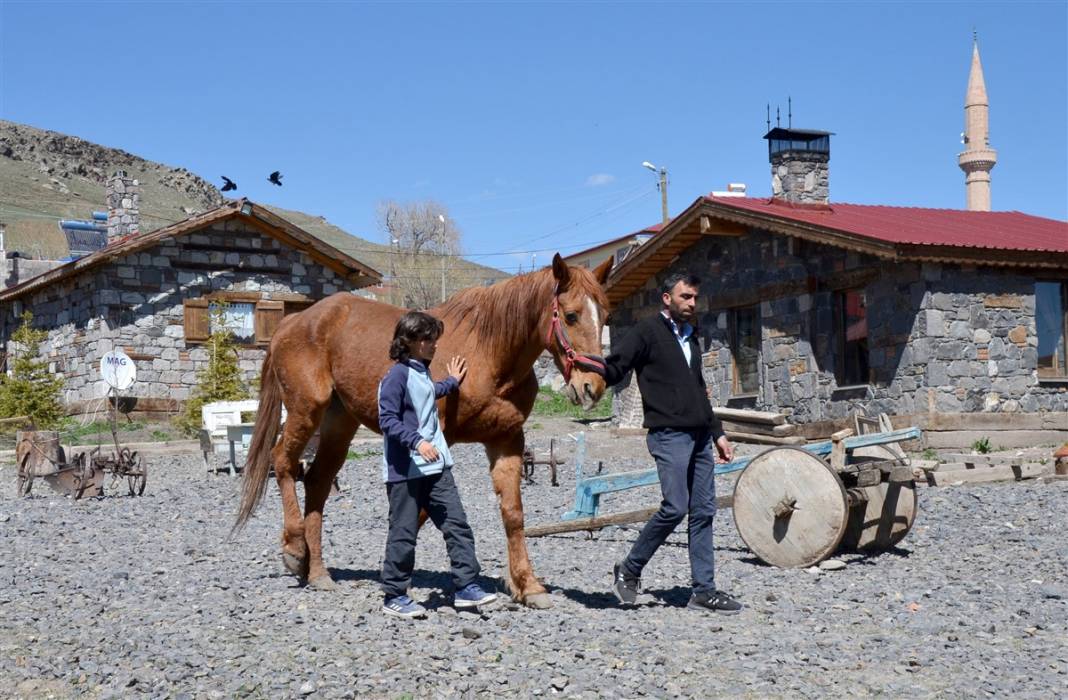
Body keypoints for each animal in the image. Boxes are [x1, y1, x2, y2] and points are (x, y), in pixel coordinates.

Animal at [237, 253, 615, 607]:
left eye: (606, 316)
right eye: (571, 316)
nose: (592, 386)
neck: (489, 353)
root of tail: (293, 321)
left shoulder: (506, 441)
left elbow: (513, 514)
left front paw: (527, 586)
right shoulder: (437, 441)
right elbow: (419, 513)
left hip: (339, 422)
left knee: (317, 481)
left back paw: (316, 572)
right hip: (306, 410)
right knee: (283, 463)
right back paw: (294, 550)